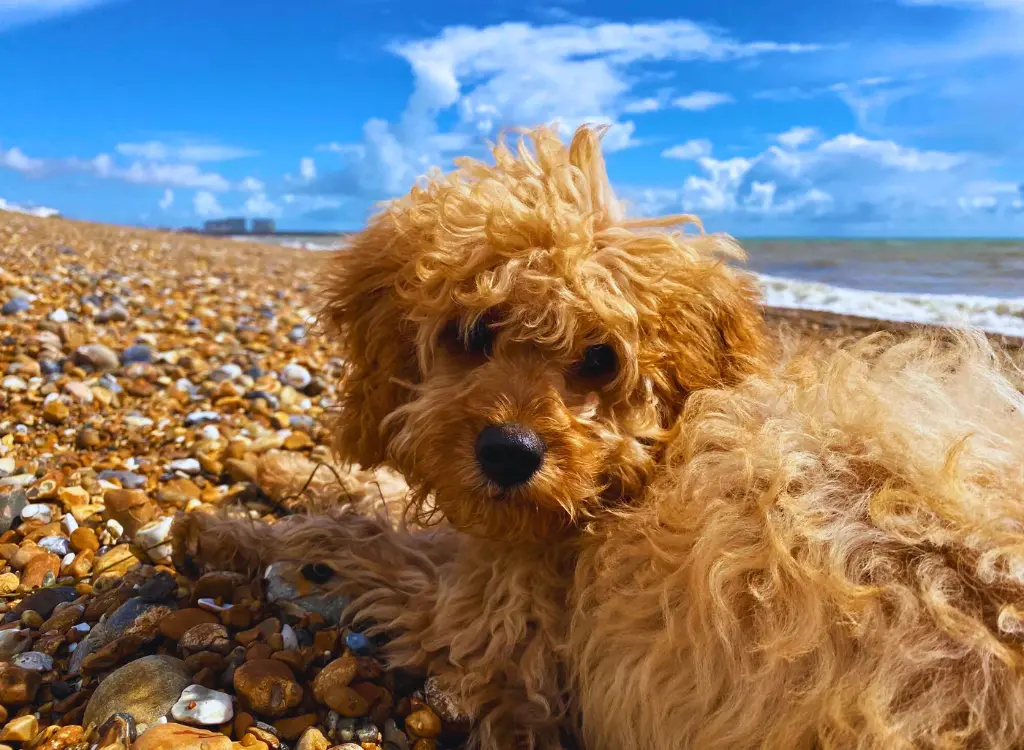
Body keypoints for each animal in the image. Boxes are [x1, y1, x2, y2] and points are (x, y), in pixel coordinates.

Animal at [180, 126, 1024, 745]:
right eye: (473, 332)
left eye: (600, 358)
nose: (509, 453)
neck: (644, 469)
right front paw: (273, 469)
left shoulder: (501, 623)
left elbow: (354, 534)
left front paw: (225, 529)